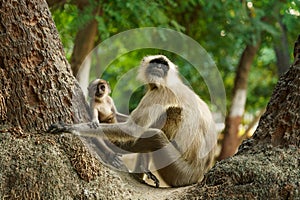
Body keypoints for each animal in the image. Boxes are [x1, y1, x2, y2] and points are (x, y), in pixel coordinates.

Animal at [49, 54, 218, 188]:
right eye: (156, 62)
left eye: (164, 65)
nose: (158, 67)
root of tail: (199, 173)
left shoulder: (160, 92)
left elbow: (133, 129)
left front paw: (71, 127)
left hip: (179, 171)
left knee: (161, 126)